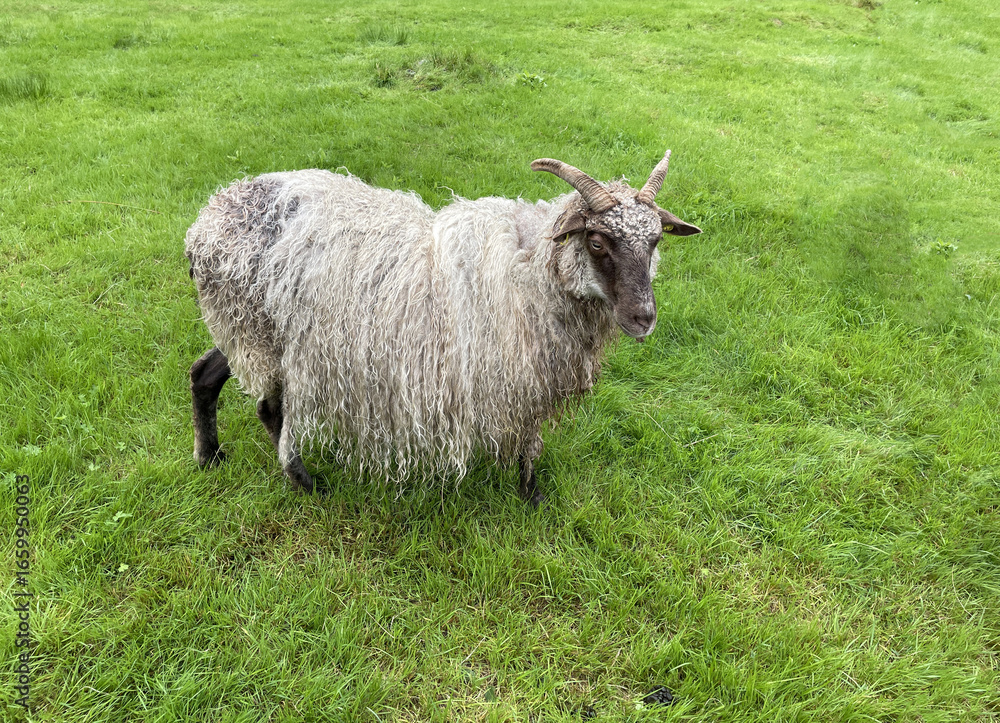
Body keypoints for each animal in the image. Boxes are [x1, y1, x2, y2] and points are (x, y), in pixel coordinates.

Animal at [185, 151, 700, 504]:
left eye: (656, 240)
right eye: (596, 240)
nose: (643, 318)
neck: (530, 268)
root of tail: (205, 222)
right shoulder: (520, 372)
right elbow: (531, 439)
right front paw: (531, 497)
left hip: (238, 327)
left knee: (204, 373)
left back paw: (210, 457)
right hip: (260, 335)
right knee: (270, 408)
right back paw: (304, 482)